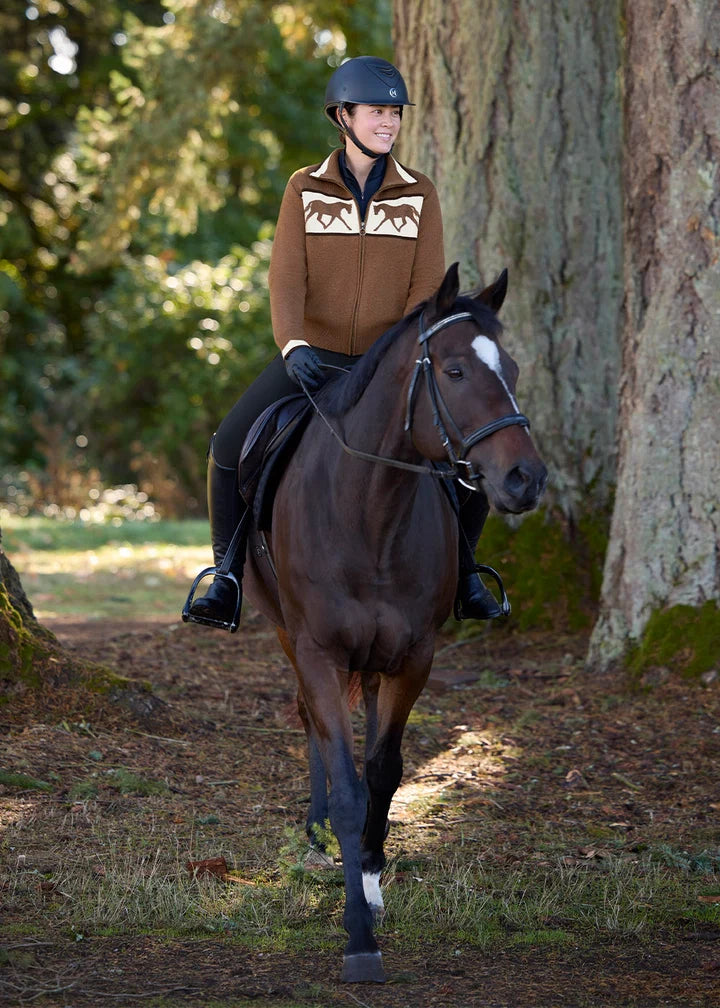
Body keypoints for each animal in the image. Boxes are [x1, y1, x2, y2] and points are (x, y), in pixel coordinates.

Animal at [242, 262, 547, 983]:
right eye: (456, 371)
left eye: (513, 368)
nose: (526, 478)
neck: (369, 511)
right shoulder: (318, 651)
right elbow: (351, 787)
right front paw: (358, 936)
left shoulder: (413, 657)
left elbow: (384, 773)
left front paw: (372, 882)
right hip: (286, 633)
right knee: (311, 723)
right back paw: (317, 831)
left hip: (377, 660)